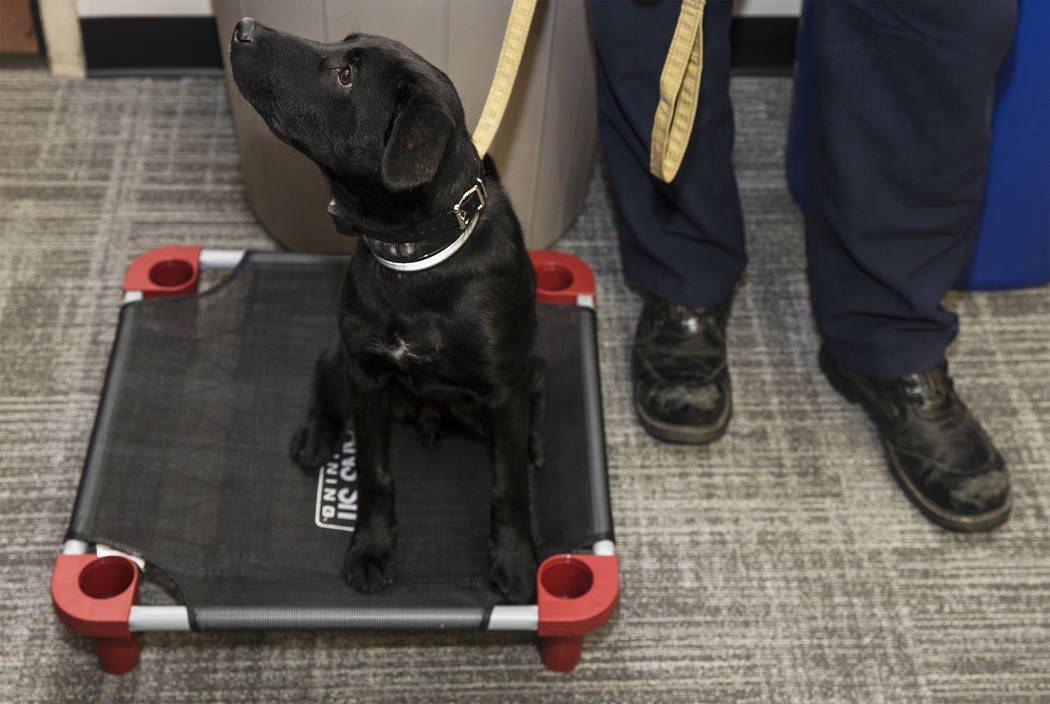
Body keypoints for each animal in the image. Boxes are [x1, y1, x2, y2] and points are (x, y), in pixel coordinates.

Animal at [228, 17, 541, 601]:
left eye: (346, 76)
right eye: (341, 48)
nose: (243, 26)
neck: (416, 259)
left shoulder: (504, 391)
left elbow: (507, 485)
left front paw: (514, 560)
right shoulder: (366, 377)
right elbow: (375, 473)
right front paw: (371, 548)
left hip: (522, 377)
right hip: (341, 362)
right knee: (322, 379)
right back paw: (316, 434)